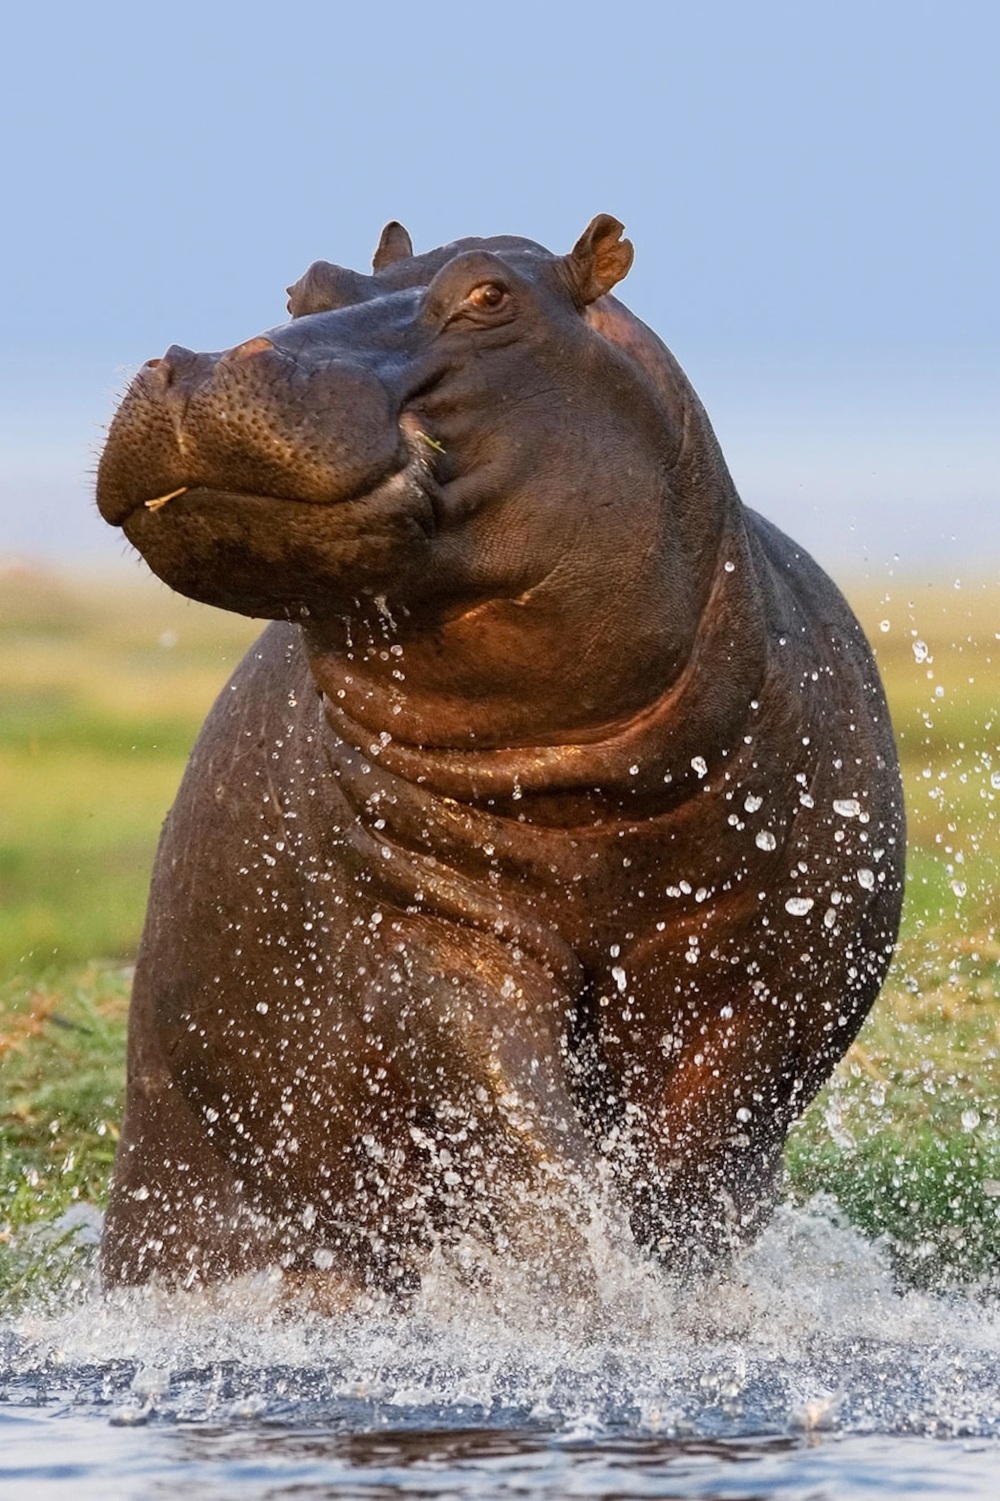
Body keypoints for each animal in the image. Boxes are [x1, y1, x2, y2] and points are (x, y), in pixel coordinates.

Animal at [95, 214, 900, 1302]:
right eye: (302, 287)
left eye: (490, 295)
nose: (201, 365)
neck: (592, 793)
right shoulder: (427, 931)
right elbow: (525, 1136)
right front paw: (588, 1294)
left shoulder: (780, 953)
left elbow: (701, 1151)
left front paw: (681, 1294)